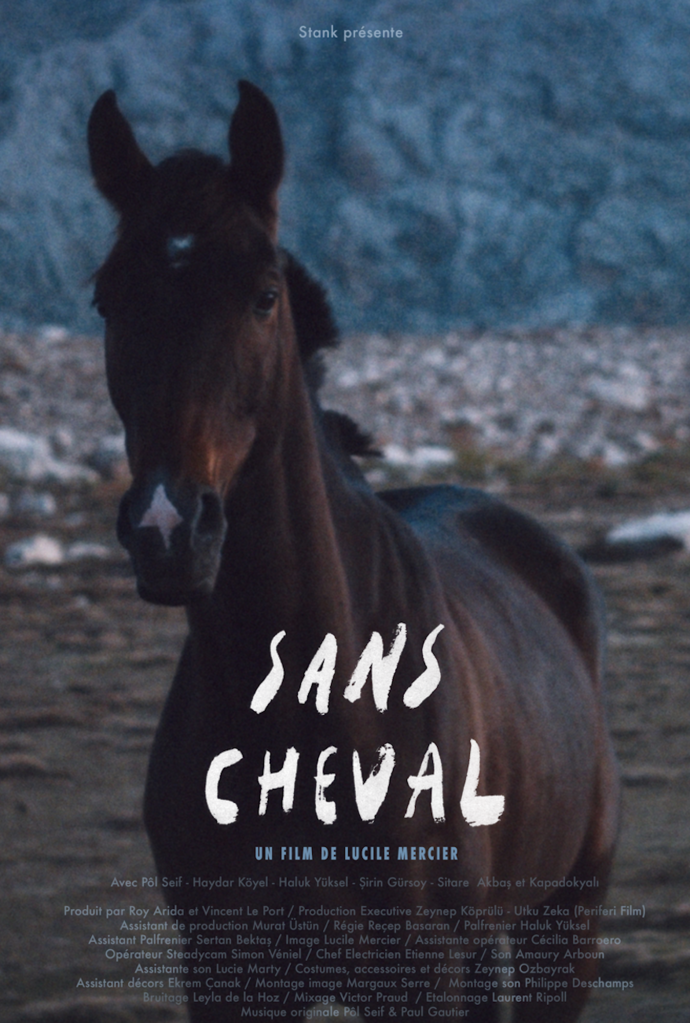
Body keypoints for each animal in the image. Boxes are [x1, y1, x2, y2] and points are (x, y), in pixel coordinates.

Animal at [88, 81, 619, 1022]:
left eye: (264, 294)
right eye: (109, 300)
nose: (168, 530)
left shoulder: (422, 975)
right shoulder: (225, 978)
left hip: (568, 919)